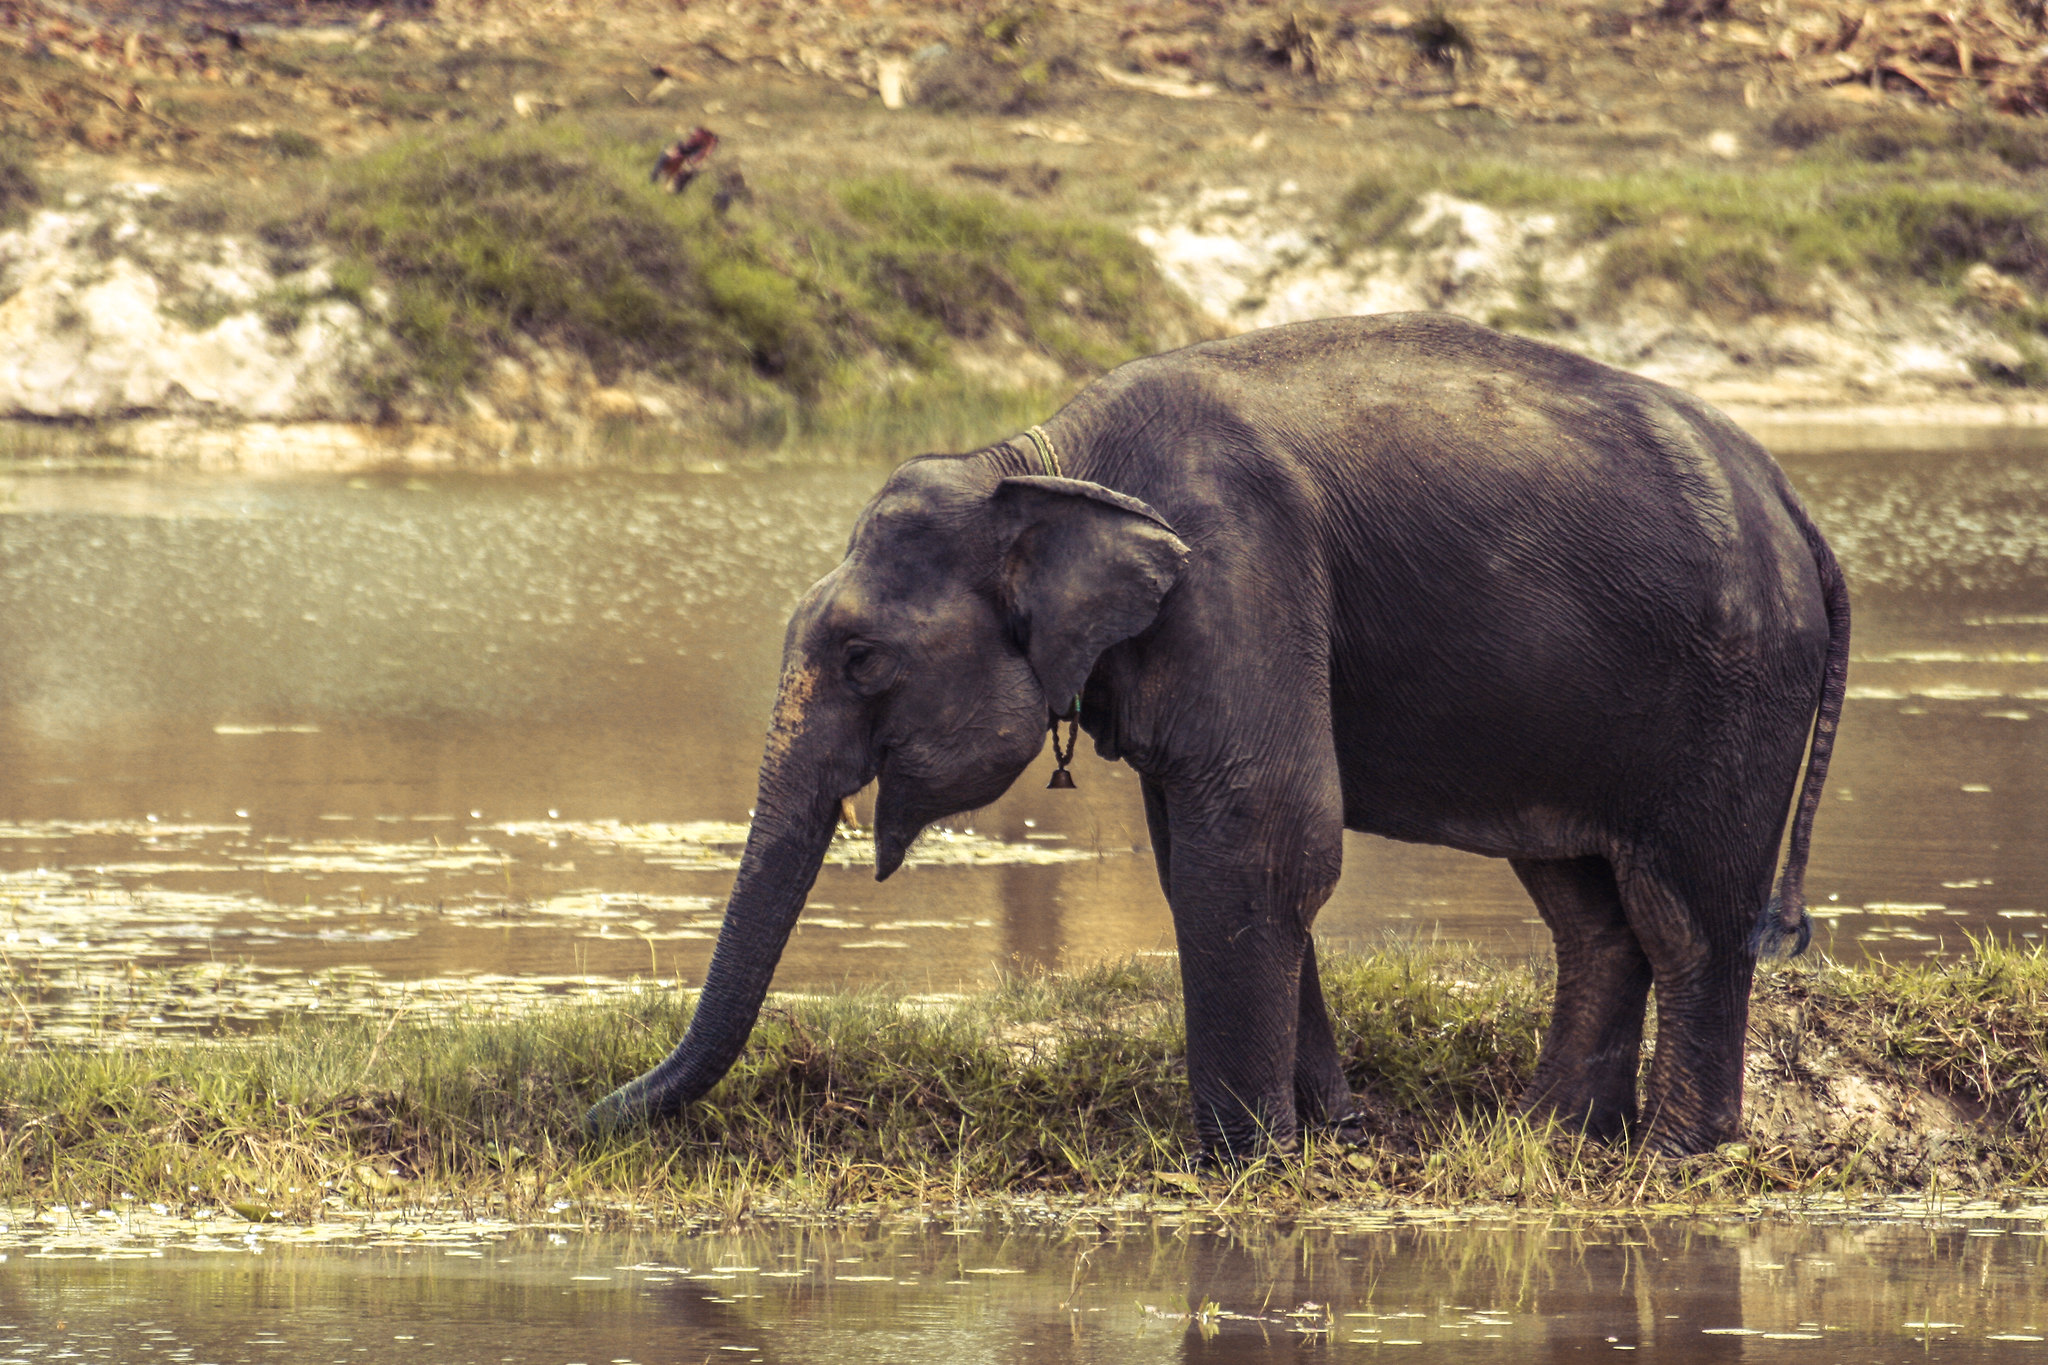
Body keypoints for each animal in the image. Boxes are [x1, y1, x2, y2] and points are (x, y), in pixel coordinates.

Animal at [588, 312, 1850, 1159]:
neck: (1039, 459)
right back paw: (1545, 1137)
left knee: (1684, 914)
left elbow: (1261, 836)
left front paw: (1242, 1162)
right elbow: (1211, 848)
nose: (587, 1115)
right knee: (1586, 906)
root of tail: (1797, 509)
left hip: (1734, 692)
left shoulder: (1239, 565)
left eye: (860, 658)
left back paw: (1674, 1155)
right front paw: (1336, 1132)